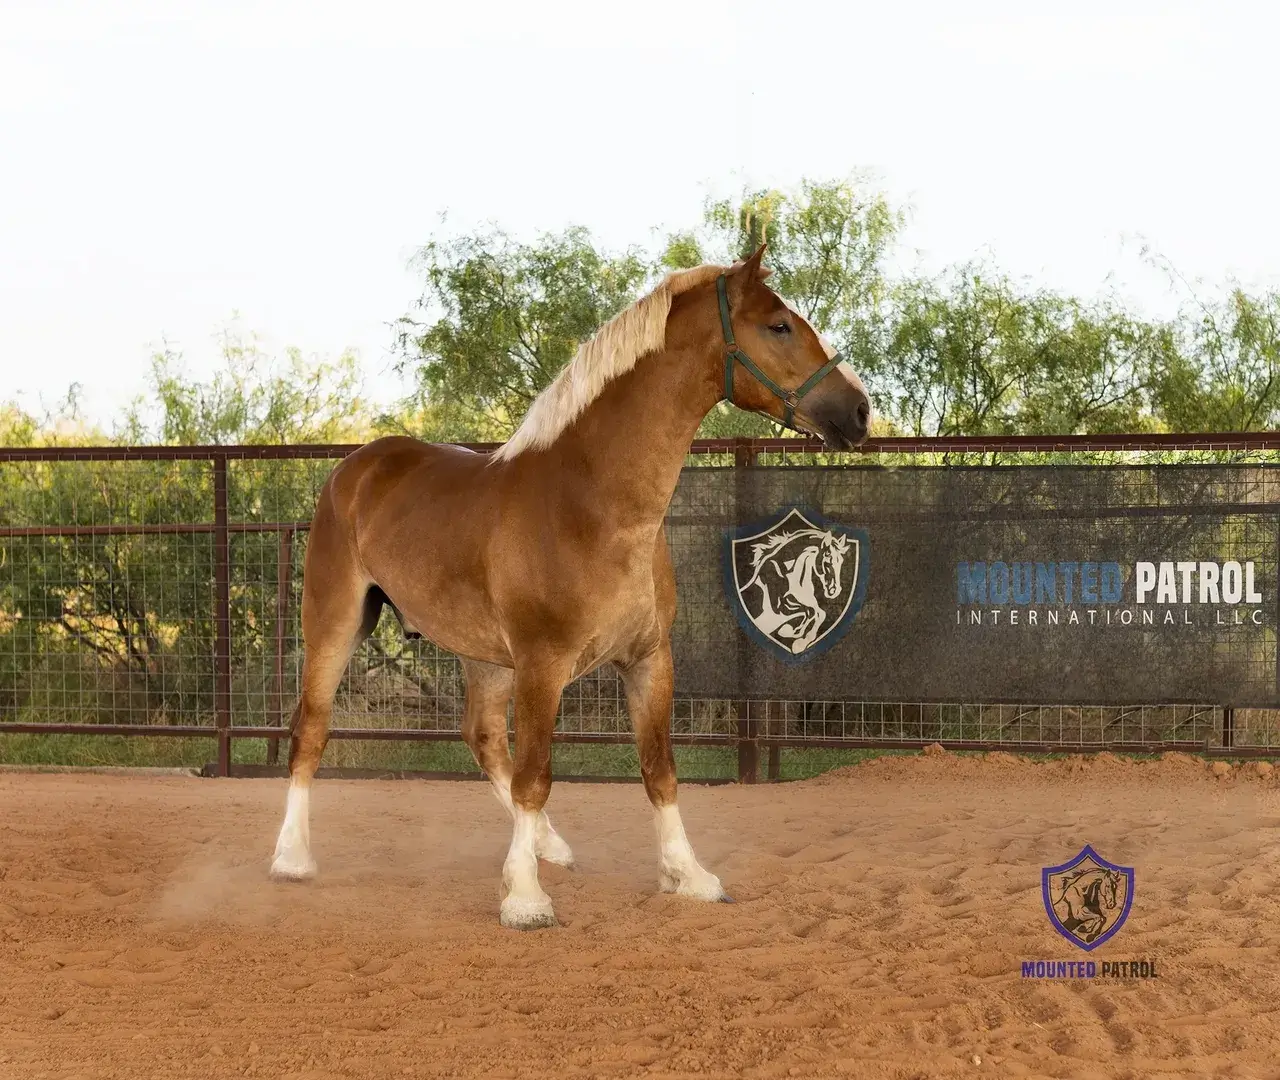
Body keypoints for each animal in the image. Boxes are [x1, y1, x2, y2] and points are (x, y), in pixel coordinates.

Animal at [268, 245, 872, 929]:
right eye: (779, 326)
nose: (858, 411)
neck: (593, 505)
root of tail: (356, 466)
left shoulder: (648, 660)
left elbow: (659, 769)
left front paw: (688, 875)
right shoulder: (543, 665)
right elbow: (537, 775)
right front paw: (525, 899)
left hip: (484, 655)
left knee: (481, 737)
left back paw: (548, 844)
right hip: (337, 622)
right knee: (312, 729)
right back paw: (293, 858)